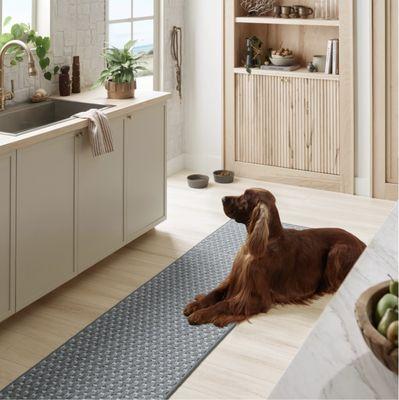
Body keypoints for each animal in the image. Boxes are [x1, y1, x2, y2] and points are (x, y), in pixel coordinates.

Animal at [184, 189, 366, 326]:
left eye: (245, 198)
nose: (222, 198)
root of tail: (363, 243)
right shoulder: (236, 277)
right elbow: (215, 292)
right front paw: (196, 305)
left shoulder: (257, 297)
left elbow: (226, 303)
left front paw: (202, 314)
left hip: (338, 251)